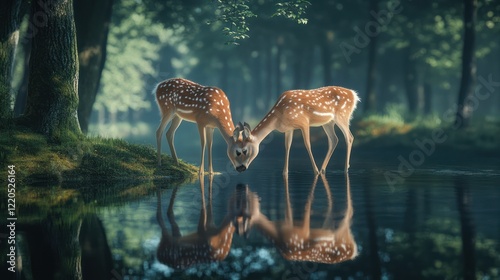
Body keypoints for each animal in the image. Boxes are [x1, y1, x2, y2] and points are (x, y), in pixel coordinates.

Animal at [232, 86, 362, 173]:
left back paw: (344, 169)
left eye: (244, 150)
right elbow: (287, 146)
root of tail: (354, 95)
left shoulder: (304, 122)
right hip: (328, 122)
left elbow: (307, 144)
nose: (241, 168)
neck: (278, 116)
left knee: (349, 137)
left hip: (342, 116)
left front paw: (315, 171)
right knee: (334, 139)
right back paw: (323, 169)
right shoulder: (288, 129)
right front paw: (285, 172)